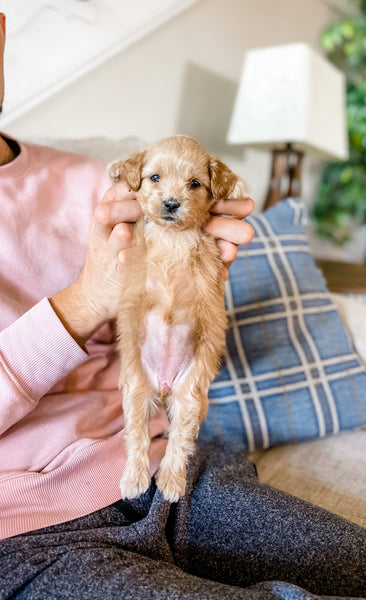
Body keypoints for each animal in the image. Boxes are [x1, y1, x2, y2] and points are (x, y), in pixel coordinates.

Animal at [108, 135, 246, 502]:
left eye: (195, 184)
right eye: (154, 177)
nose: (171, 204)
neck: (173, 236)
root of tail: (164, 387)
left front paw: (236, 187)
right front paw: (117, 168)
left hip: (191, 398)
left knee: (178, 443)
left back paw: (170, 483)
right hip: (136, 393)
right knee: (138, 438)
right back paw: (135, 480)